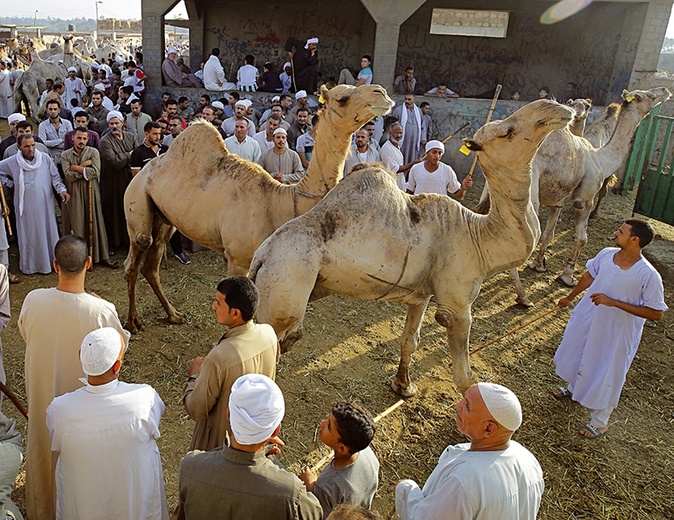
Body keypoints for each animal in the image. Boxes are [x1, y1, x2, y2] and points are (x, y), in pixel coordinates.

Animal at [249, 99, 576, 396]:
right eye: (508, 131)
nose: (557, 108)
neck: (478, 236)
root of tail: (261, 258)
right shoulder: (458, 305)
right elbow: (465, 377)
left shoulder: (421, 295)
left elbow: (411, 340)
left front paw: (404, 386)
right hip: (287, 283)